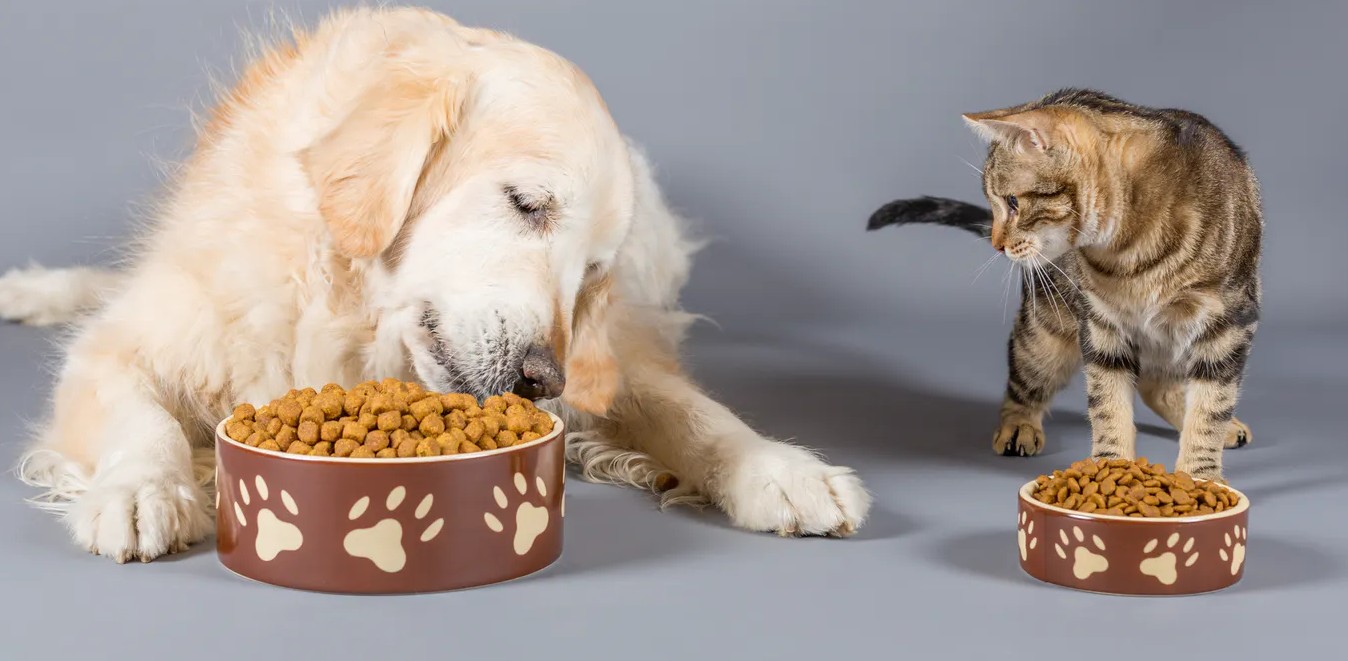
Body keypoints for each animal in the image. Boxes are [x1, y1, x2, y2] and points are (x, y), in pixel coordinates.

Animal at [0, 6, 868, 563]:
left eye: (592, 272)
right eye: (528, 202)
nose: (543, 378)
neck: (351, 312)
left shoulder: (612, 357)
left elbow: (693, 412)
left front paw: (785, 471)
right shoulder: (128, 344)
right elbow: (138, 415)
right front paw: (143, 490)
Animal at [873, 87, 1261, 480]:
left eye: (1012, 202)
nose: (998, 244)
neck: (1131, 250)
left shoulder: (1228, 324)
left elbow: (1210, 408)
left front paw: (1200, 477)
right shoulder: (1101, 324)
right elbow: (1109, 407)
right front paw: (1111, 468)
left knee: (1162, 385)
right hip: (1044, 331)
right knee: (1027, 378)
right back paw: (1018, 425)